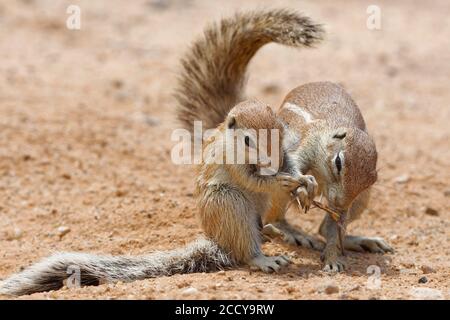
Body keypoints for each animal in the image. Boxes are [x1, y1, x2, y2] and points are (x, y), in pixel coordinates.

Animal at [0, 9, 324, 296]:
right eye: (247, 141)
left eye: (280, 128)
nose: (271, 161)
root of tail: (217, 241)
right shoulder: (231, 162)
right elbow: (252, 179)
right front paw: (280, 179)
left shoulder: (282, 152)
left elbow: (289, 161)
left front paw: (304, 180)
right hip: (229, 204)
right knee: (245, 249)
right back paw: (265, 258)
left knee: (267, 224)